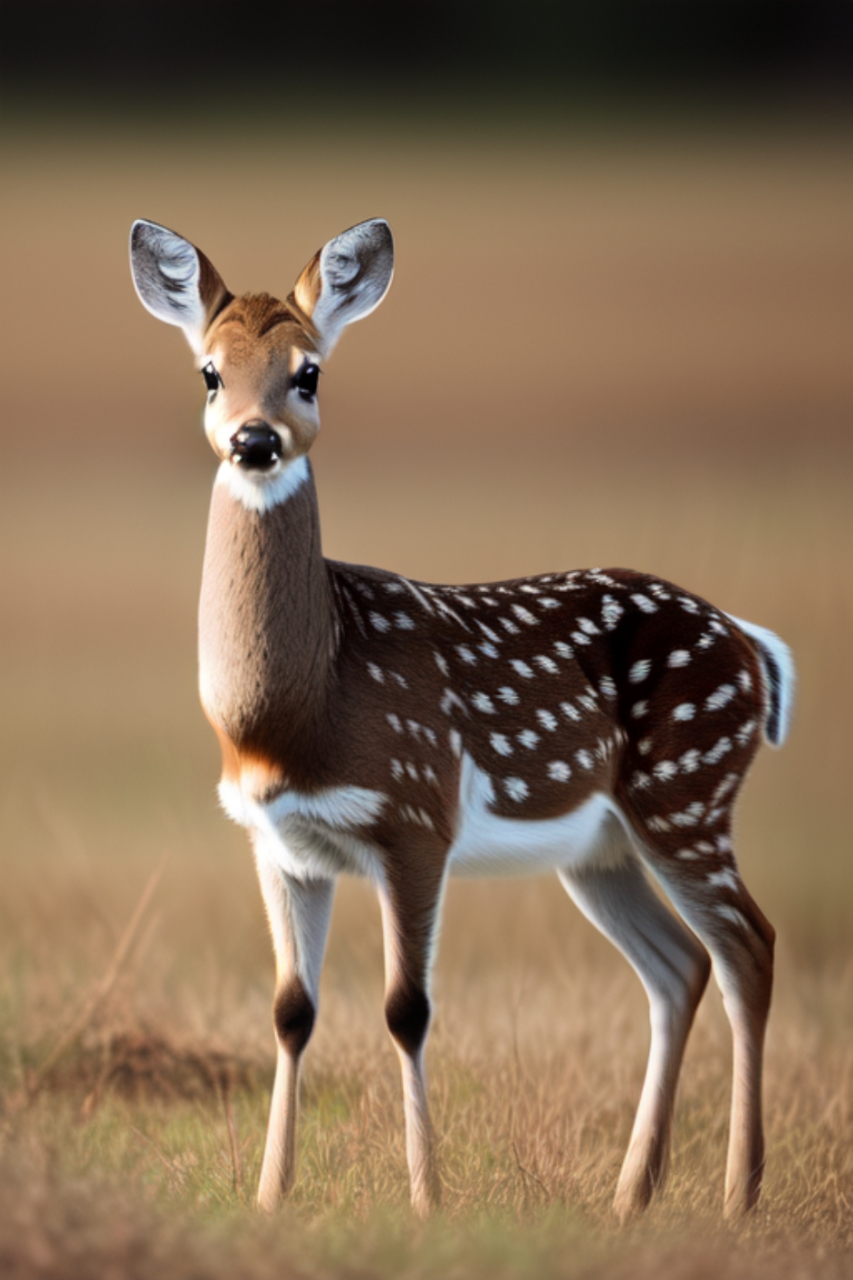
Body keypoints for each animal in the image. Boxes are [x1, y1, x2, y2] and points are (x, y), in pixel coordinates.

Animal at [129, 217, 794, 1218]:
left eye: (309, 371)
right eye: (209, 371)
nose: (253, 440)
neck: (296, 711)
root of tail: (754, 647)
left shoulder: (416, 815)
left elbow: (407, 1010)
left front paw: (427, 1203)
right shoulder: (277, 841)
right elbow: (290, 1012)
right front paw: (270, 1200)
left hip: (688, 792)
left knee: (747, 945)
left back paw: (736, 1199)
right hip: (600, 849)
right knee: (679, 966)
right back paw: (628, 1199)